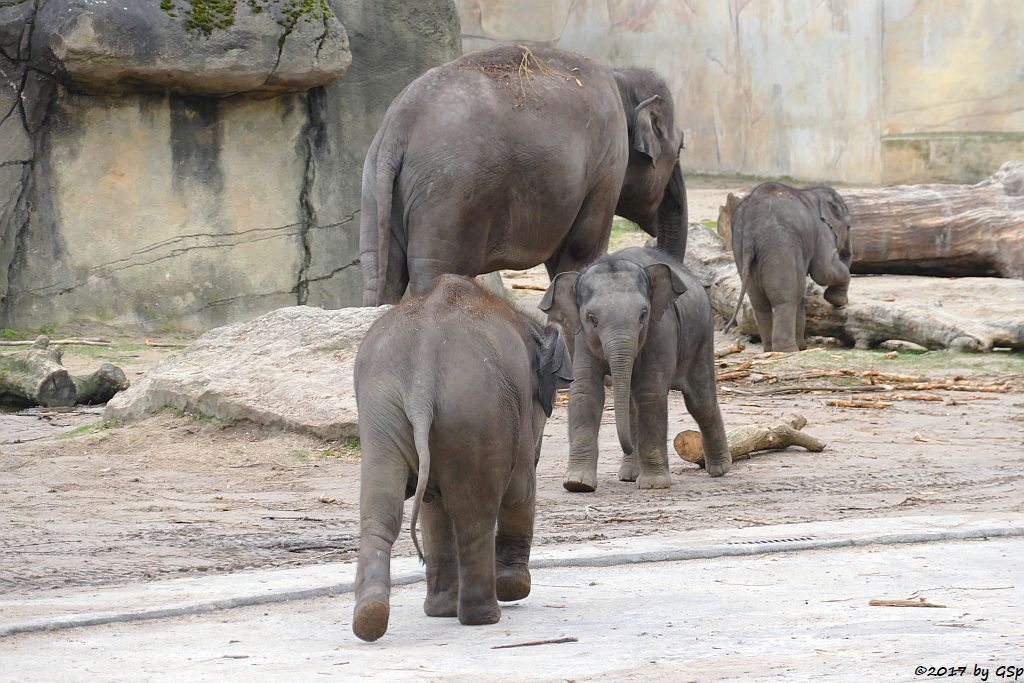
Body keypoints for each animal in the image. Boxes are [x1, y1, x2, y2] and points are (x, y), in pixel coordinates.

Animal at [352, 274, 577, 643]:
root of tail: (422, 370)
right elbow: (520, 490)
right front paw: (513, 587)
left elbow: (433, 509)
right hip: (474, 408)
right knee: (476, 515)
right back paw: (484, 616)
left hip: (382, 412)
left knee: (381, 511)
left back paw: (375, 618)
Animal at [360, 45, 688, 305]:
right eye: (681, 147)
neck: (621, 79)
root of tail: (398, 127)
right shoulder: (607, 166)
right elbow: (582, 249)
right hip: (447, 198)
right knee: (434, 272)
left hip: (377, 186)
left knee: (382, 274)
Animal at [540, 245, 733, 491]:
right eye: (591, 318)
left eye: (643, 315)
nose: (628, 446)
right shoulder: (580, 337)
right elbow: (586, 391)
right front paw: (577, 484)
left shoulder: (660, 328)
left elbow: (650, 392)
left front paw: (653, 484)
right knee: (633, 405)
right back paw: (630, 475)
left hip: (702, 337)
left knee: (701, 402)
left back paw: (719, 469)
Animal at [729, 181, 856, 352]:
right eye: (849, 227)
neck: (812, 191)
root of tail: (750, 225)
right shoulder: (822, 232)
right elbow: (823, 270)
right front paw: (839, 301)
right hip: (779, 246)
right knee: (786, 298)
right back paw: (788, 350)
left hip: (742, 253)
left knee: (760, 302)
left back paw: (772, 349)